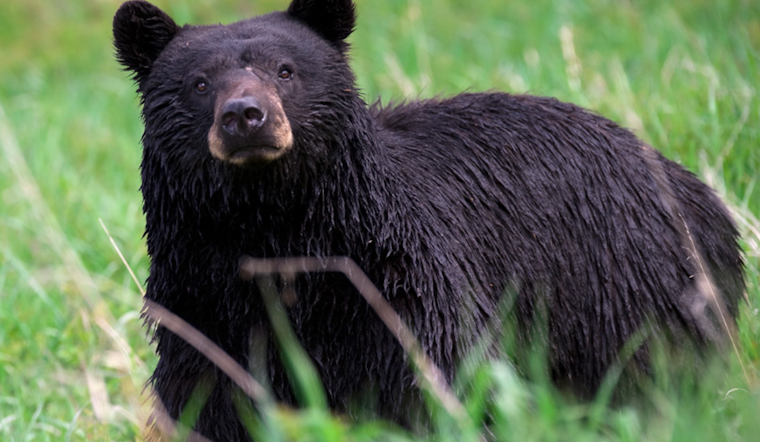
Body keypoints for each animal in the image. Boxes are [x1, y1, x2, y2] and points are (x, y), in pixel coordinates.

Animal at [113, 0, 744, 440]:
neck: (274, 230)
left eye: (286, 71)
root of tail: (699, 193)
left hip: (628, 290)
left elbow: (442, 384)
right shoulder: (201, 309)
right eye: (198, 83)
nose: (246, 116)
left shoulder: (400, 291)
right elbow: (212, 404)